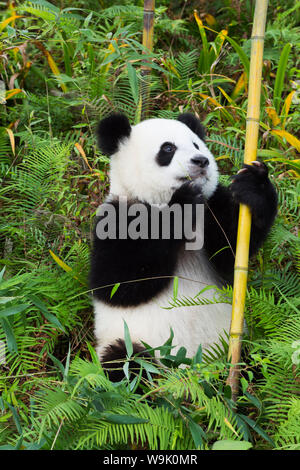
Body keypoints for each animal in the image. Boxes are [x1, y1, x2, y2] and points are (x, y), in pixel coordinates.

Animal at [89, 112, 278, 380]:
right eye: (168, 148)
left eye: (197, 145)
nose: (201, 161)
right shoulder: (117, 217)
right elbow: (118, 283)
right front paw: (182, 203)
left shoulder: (211, 209)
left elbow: (231, 247)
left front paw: (254, 185)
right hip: (133, 344)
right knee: (126, 364)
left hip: (241, 343)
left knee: (263, 358)